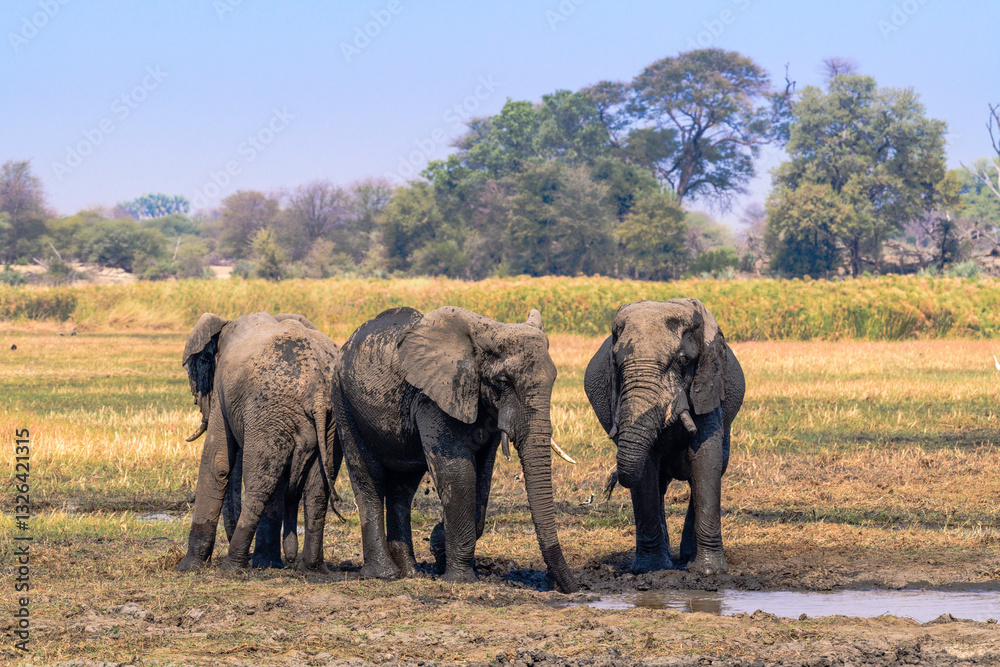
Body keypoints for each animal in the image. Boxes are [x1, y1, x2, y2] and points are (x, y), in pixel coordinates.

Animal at [176, 312, 342, 573]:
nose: (290, 557)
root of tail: (317, 393)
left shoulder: (224, 396)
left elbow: (217, 463)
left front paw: (188, 567)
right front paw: (267, 564)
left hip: (270, 408)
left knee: (258, 484)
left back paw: (232, 568)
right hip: (327, 421)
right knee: (317, 490)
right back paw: (311, 568)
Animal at [333, 306, 579, 593]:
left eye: (554, 379)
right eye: (503, 382)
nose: (575, 587)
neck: (486, 334)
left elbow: (483, 476)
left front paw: (440, 546)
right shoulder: (433, 398)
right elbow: (458, 473)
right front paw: (459, 578)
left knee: (402, 489)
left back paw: (411, 573)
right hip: (344, 402)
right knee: (368, 479)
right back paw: (384, 575)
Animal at [584, 299, 744, 576]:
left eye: (682, 360)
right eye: (616, 364)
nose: (609, 484)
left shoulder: (708, 385)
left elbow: (705, 460)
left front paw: (709, 572)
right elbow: (646, 471)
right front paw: (651, 570)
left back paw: (688, 557)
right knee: (658, 482)